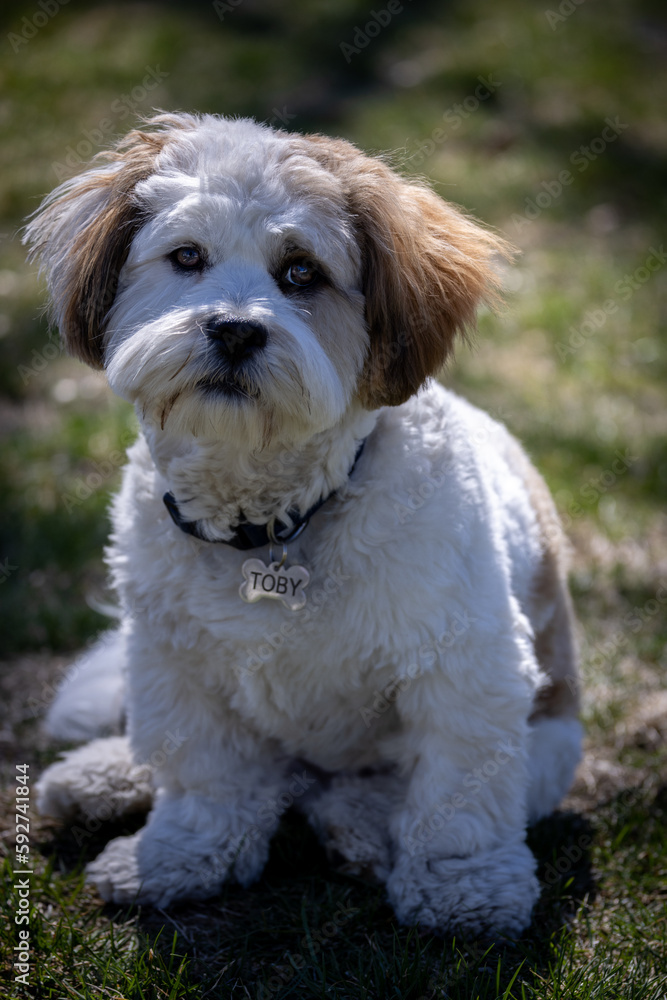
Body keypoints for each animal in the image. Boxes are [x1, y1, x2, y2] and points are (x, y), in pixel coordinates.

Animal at [24, 115, 580, 936]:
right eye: (186, 257)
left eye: (301, 273)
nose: (233, 330)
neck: (271, 520)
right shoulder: (174, 660)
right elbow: (206, 776)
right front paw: (181, 854)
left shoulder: (467, 666)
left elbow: (458, 794)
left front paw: (463, 890)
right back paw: (102, 775)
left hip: (549, 741)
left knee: (367, 793)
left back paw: (361, 822)